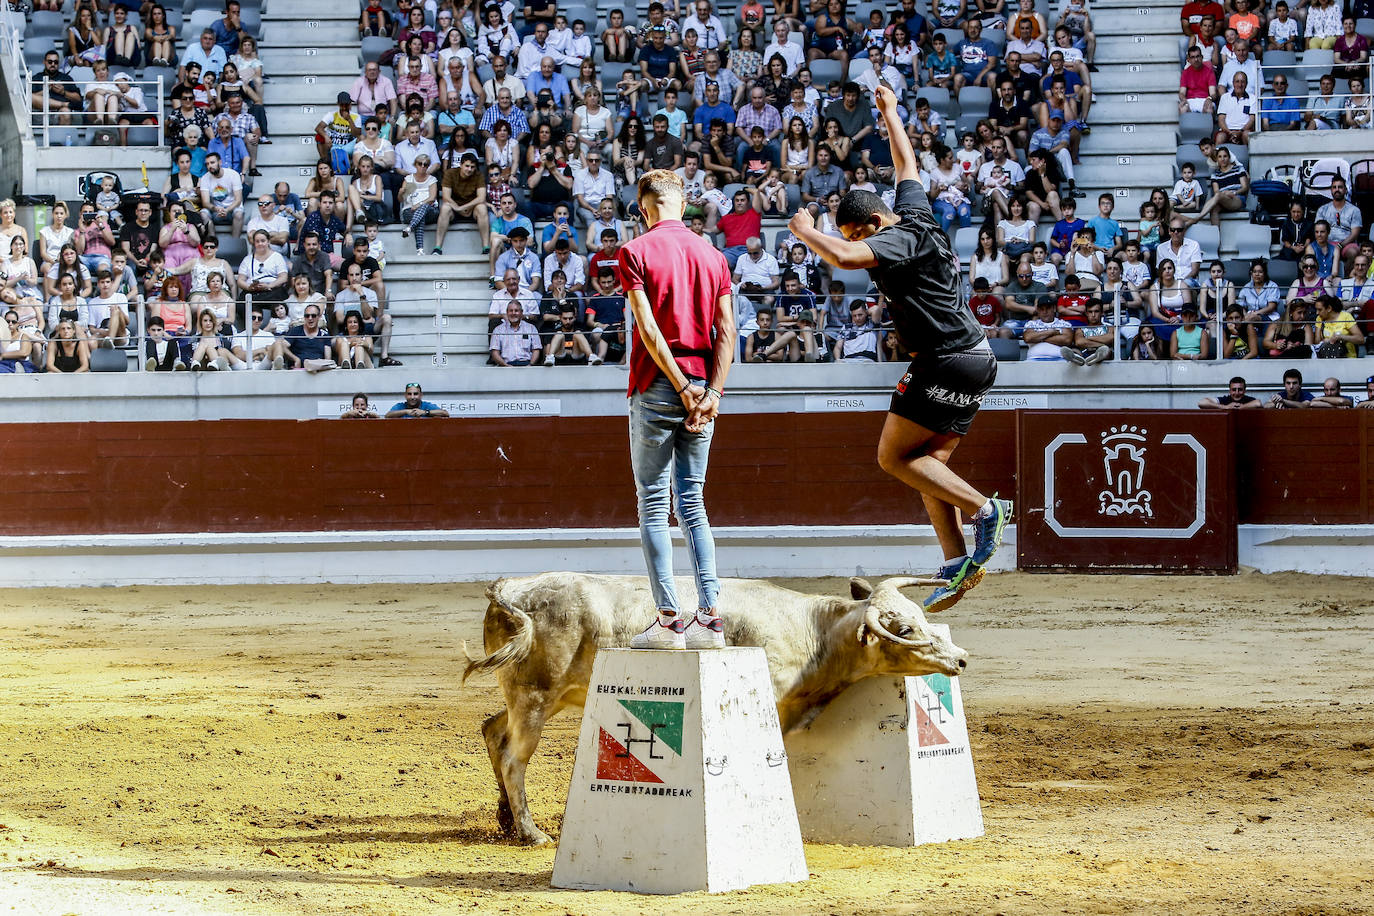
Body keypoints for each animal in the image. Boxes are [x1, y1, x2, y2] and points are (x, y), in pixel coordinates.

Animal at [461, 574, 967, 845]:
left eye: (920, 617)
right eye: (904, 628)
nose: (960, 658)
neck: (815, 632)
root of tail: (513, 587)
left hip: (536, 698)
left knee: (492, 731)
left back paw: (506, 821)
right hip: (535, 697)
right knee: (514, 758)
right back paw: (531, 832)